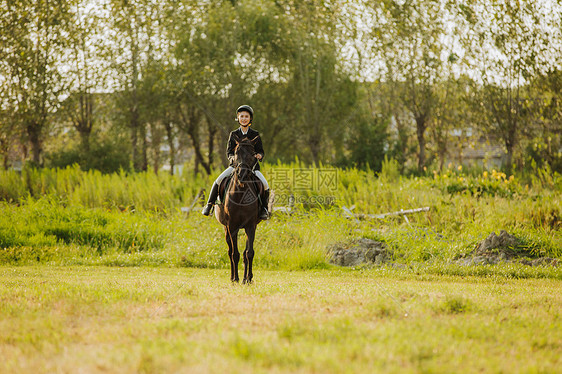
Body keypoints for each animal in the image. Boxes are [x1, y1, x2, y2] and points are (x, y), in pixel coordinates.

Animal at [213, 136, 264, 282]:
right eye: (236, 153)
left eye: (253, 154)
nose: (242, 175)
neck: (241, 192)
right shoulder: (232, 226)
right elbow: (235, 254)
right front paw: (235, 278)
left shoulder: (251, 226)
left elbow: (249, 253)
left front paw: (248, 279)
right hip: (226, 228)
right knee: (230, 252)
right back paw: (232, 277)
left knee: (245, 253)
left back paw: (245, 278)